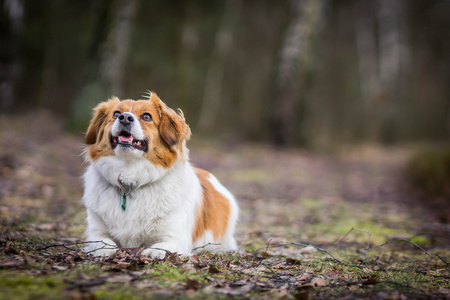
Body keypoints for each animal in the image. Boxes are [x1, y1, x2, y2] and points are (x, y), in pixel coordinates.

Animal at [83, 92, 241, 258]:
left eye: (146, 116)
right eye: (116, 114)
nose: (125, 117)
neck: (130, 176)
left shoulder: (175, 238)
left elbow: (161, 246)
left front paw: (153, 251)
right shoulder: (96, 231)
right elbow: (100, 241)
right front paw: (105, 249)